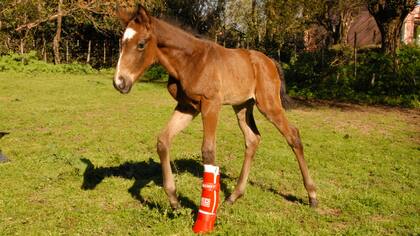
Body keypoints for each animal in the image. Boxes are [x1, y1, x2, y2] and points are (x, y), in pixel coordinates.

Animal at [113, 5, 316, 232]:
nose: (119, 82)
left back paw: (312, 196)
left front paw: (205, 216)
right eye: (121, 43)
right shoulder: (187, 107)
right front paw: (175, 202)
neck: (190, 60)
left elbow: (208, 151)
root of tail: (269, 61)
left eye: (141, 44)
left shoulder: (211, 104)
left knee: (293, 135)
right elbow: (163, 141)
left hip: (269, 104)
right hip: (242, 106)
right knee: (252, 139)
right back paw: (233, 196)